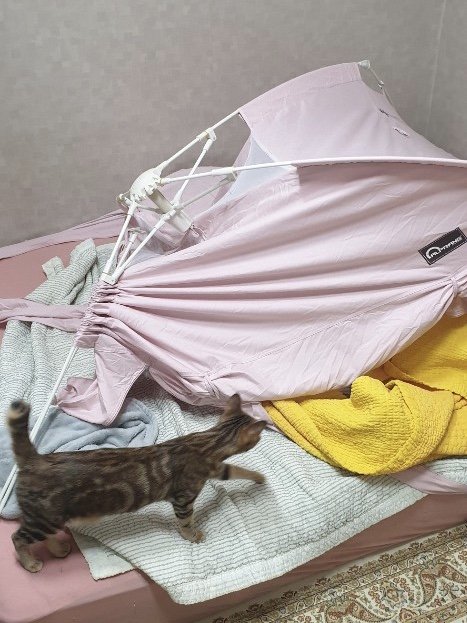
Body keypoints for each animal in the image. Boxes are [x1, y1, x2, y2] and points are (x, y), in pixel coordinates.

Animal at [7, 394, 266, 573]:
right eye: (259, 437)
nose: (262, 437)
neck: (209, 440)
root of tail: (35, 458)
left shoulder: (217, 469)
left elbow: (238, 470)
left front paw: (260, 478)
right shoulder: (184, 498)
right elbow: (186, 522)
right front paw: (192, 536)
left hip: (49, 519)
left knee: (45, 536)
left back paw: (58, 550)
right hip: (43, 519)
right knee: (17, 538)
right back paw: (30, 563)